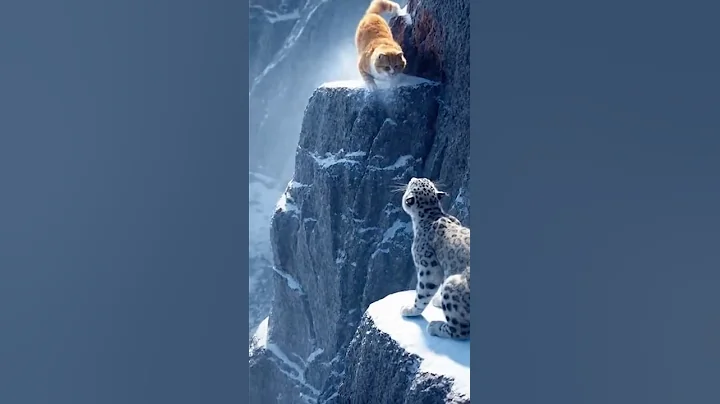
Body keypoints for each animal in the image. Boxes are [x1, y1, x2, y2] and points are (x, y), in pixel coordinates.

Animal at [399, 177, 471, 340]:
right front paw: (438, 299)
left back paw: (435, 327)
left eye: (414, 183)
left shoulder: (428, 267)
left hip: (453, 283)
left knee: (461, 330)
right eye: (426, 180)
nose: (412, 177)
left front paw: (410, 309)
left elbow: (422, 293)